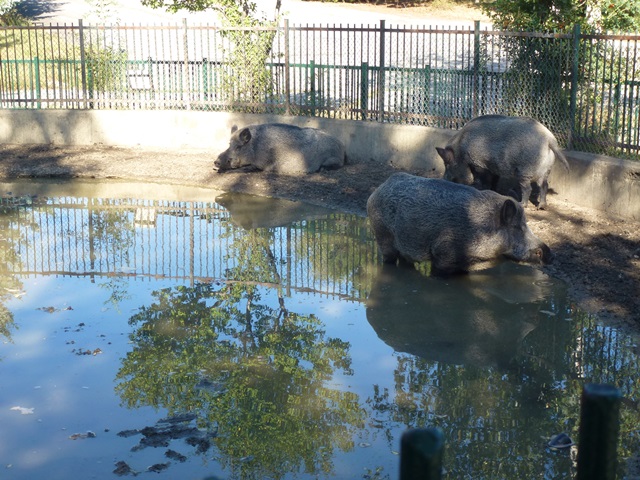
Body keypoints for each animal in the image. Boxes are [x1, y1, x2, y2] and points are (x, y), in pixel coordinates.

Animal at [214, 123, 346, 175]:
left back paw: (322, 170)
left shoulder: (260, 164)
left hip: (333, 159)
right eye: (229, 144)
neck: (255, 146)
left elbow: (242, 169)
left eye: (238, 147)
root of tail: (342, 146)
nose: (216, 161)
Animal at [366, 172, 553, 274]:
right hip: (382, 233)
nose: (549, 254)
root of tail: (378, 189)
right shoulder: (442, 254)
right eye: (516, 227)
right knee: (389, 257)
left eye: (526, 223)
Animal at [436, 115, 570, 209]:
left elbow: (480, 177)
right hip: (546, 169)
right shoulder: (494, 167)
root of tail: (549, 140)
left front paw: (477, 187)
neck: (461, 148)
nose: (443, 179)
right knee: (544, 186)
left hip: (525, 171)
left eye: (447, 163)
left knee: (528, 188)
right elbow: (495, 179)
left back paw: (522, 204)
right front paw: (493, 189)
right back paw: (541, 207)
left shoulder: (478, 163)